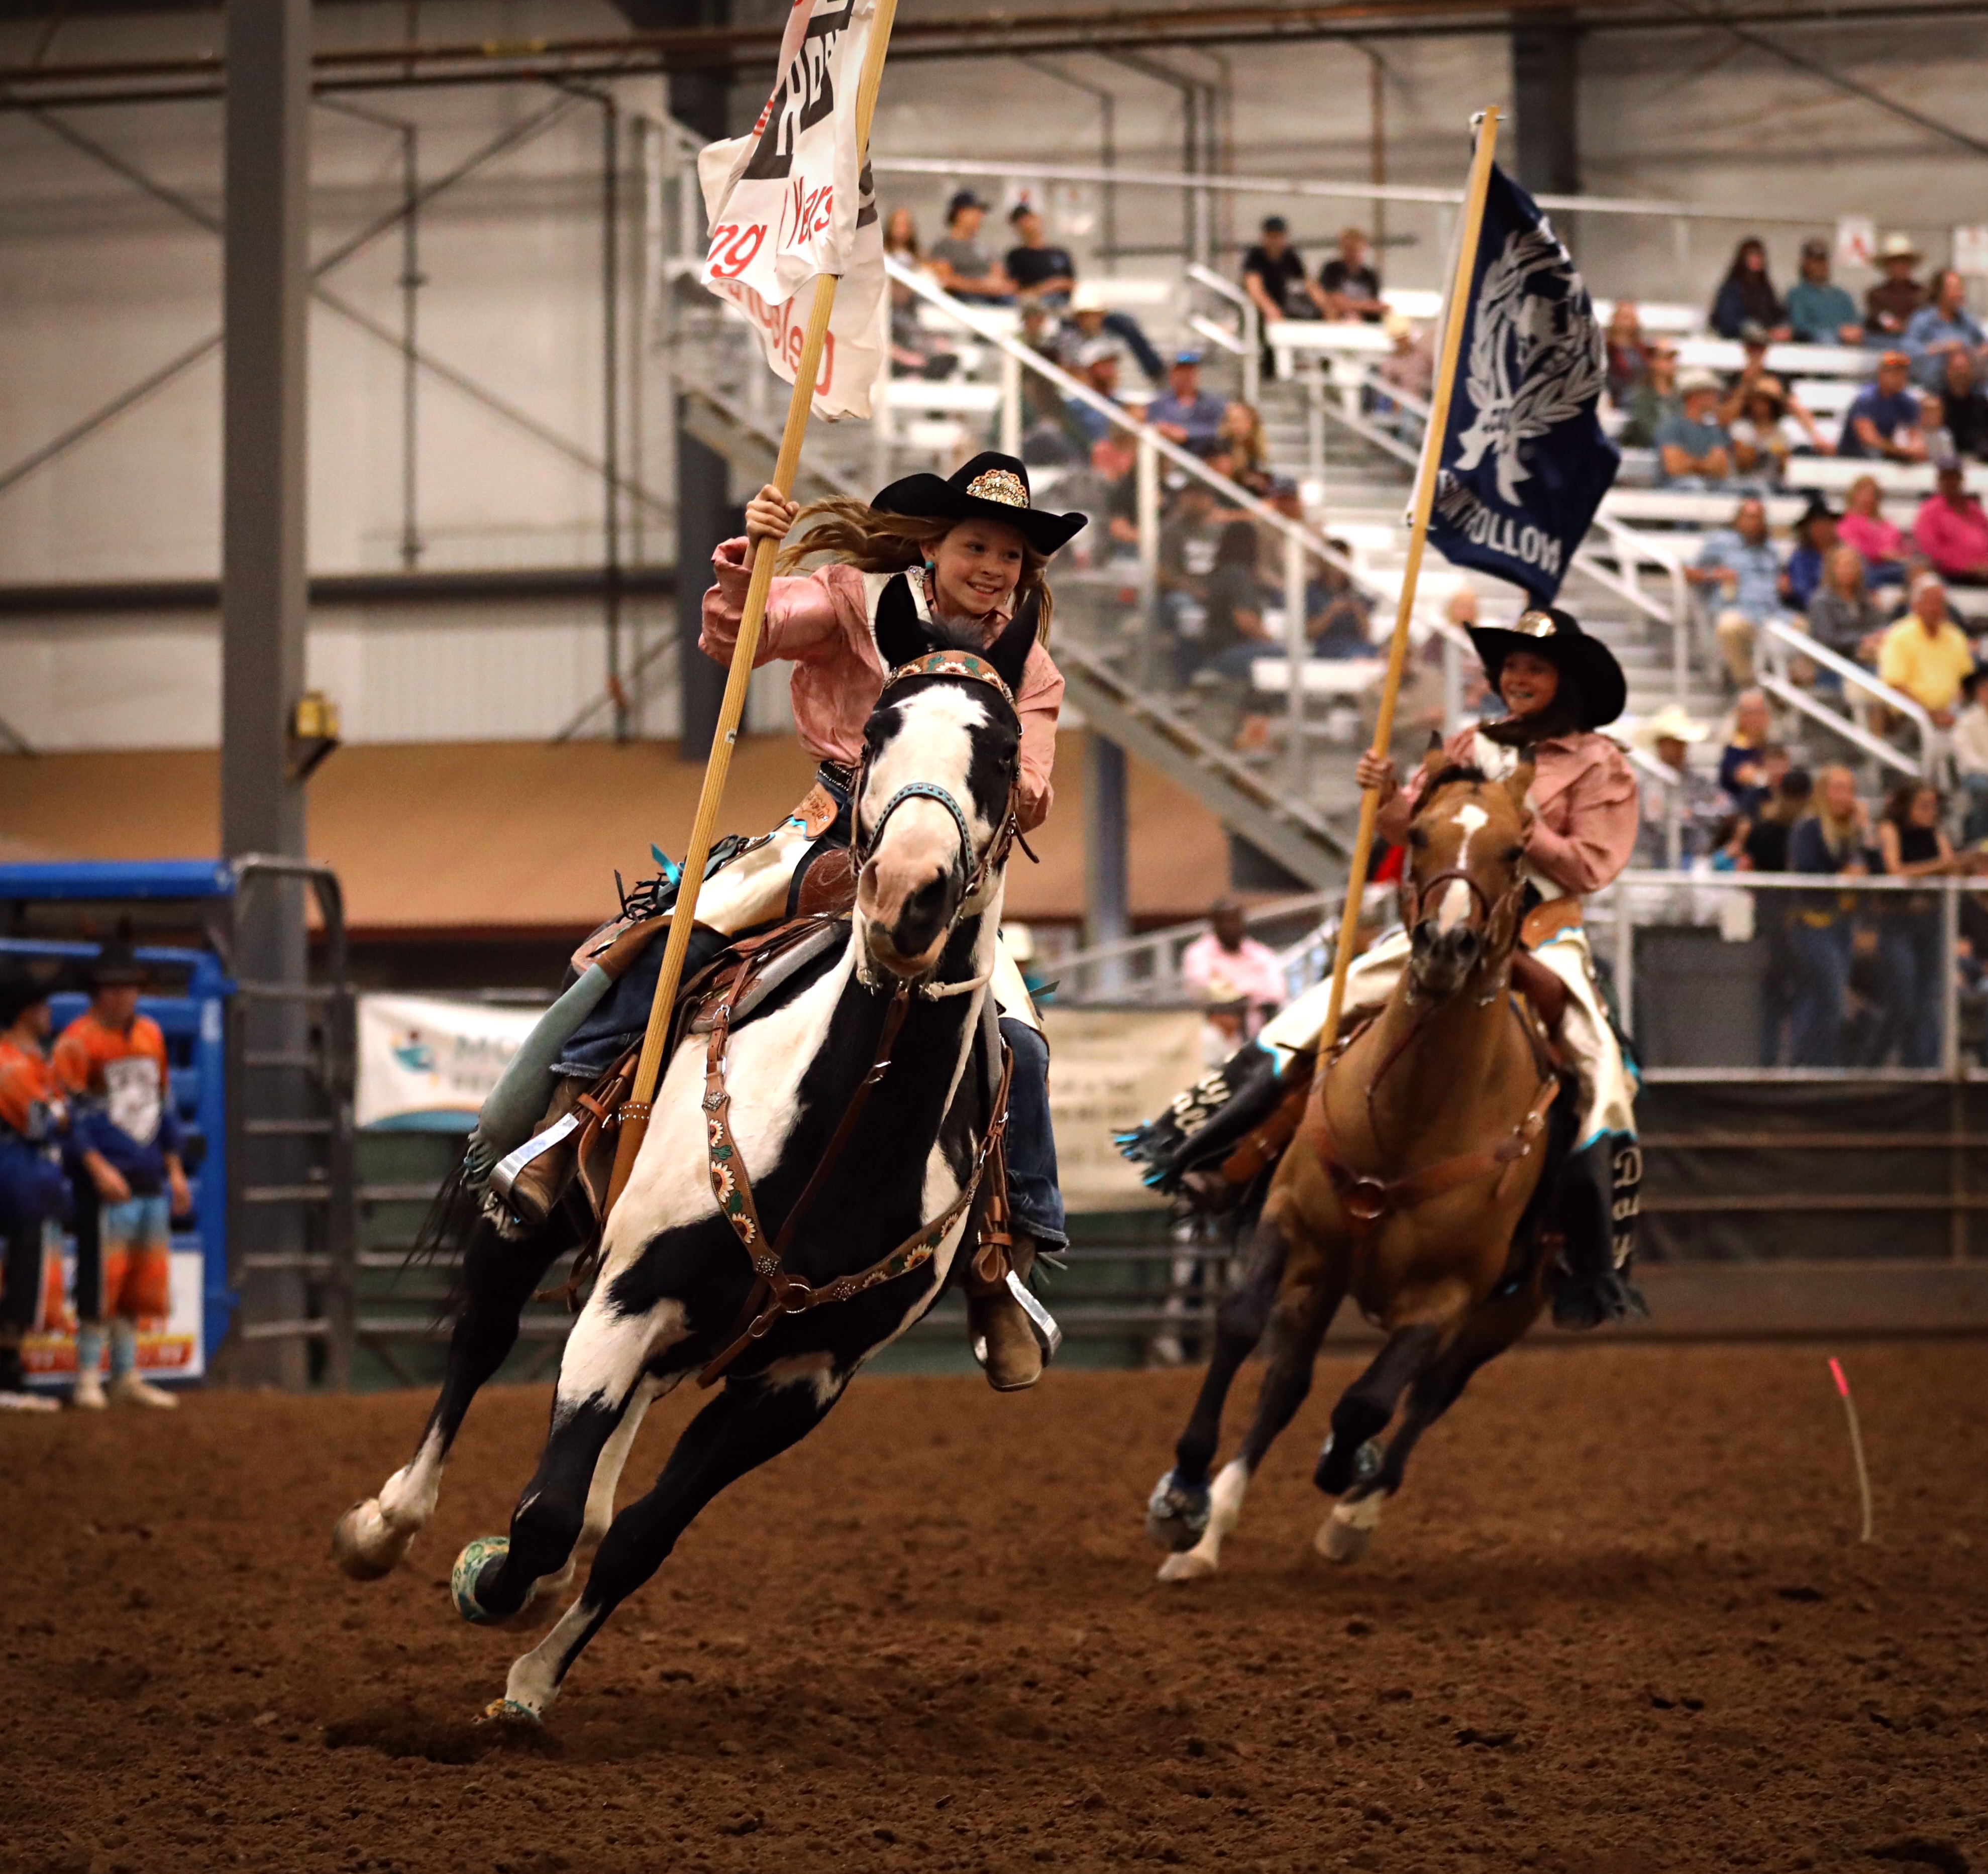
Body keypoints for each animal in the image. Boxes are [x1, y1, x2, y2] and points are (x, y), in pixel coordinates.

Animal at [326, 600, 1041, 1733]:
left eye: (1006, 748)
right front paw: (490, 1580)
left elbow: (637, 1537)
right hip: (533, 1226)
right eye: (878, 727)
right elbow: (540, 1511)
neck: (844, 1130)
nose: (906, 896)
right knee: (481, 1341)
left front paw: (532, 1680)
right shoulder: (627, 1295)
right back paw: (383, 1524)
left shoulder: (800, 1379)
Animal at [1153, 751, 1566, 1582]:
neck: (1411, 1116)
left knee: (1431, 1393)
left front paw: (1346, 1471)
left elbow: (1368, 1403)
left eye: (1516, 850)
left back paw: (1355, 1510)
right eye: (1419, 833)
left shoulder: (1448, 1295)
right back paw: (1211, 1534)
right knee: (1287, 1381)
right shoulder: (1293, 1223)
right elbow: (1239, 1325)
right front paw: (1183, 1496)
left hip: (1505, 1309)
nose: (1444, 945)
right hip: (1324, 1275)